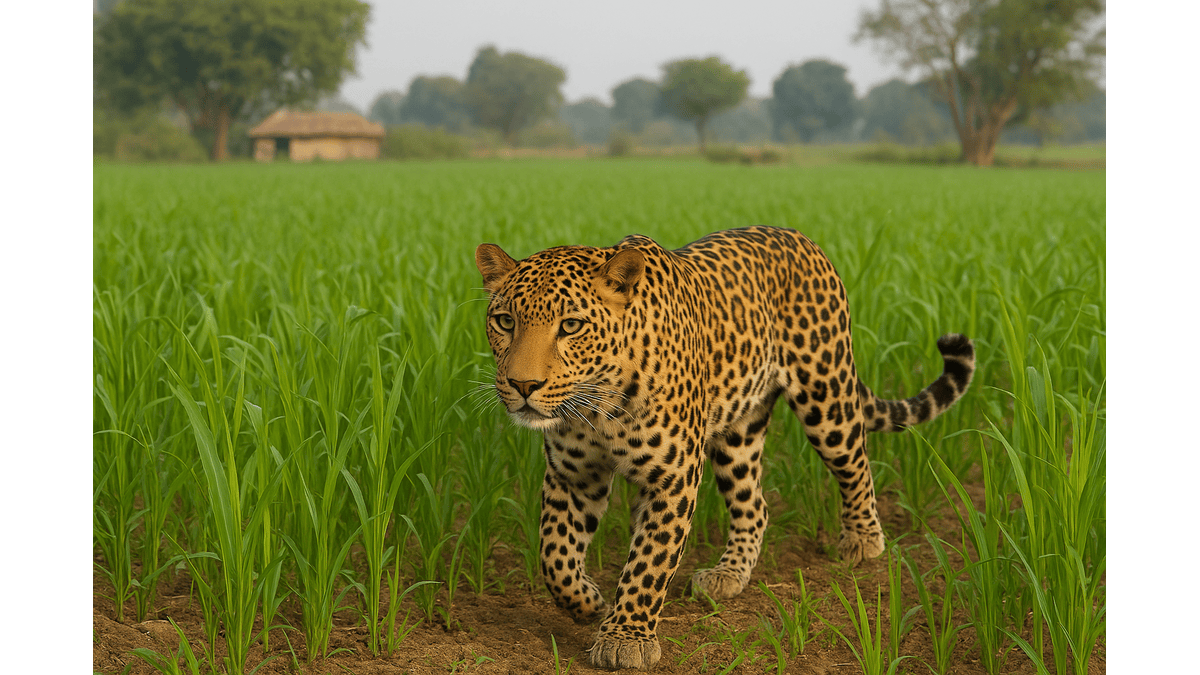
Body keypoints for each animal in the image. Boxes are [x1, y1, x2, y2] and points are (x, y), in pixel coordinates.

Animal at [474, 225, 974, 670]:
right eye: (505, 322)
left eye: (571, 326)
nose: (522, 386)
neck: (599, 406)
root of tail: (803, 238)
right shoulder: (574, 475)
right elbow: (554, 553)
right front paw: (586, 602)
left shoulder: (672, 478)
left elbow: (649, 562)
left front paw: (625, 638)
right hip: (738, 435)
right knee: (755, 505)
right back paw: (728, 575)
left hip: (826, 394)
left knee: (855, 461)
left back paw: (864, 541)